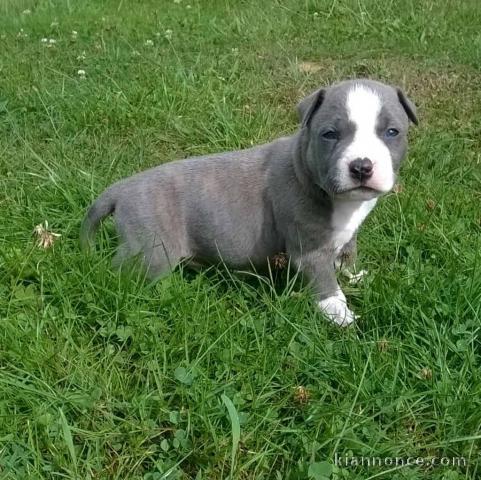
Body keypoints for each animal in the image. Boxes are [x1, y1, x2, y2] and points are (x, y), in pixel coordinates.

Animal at [80, 79, 414, 326]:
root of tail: (121, 188)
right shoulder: (310, 250)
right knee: (121, 272)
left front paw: (354, 275)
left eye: (392, 132)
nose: (361, 167)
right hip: (150, 251)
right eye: (330, 134)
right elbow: (326, 284)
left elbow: (347, 252)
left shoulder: (346, 233)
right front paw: (341, 316)